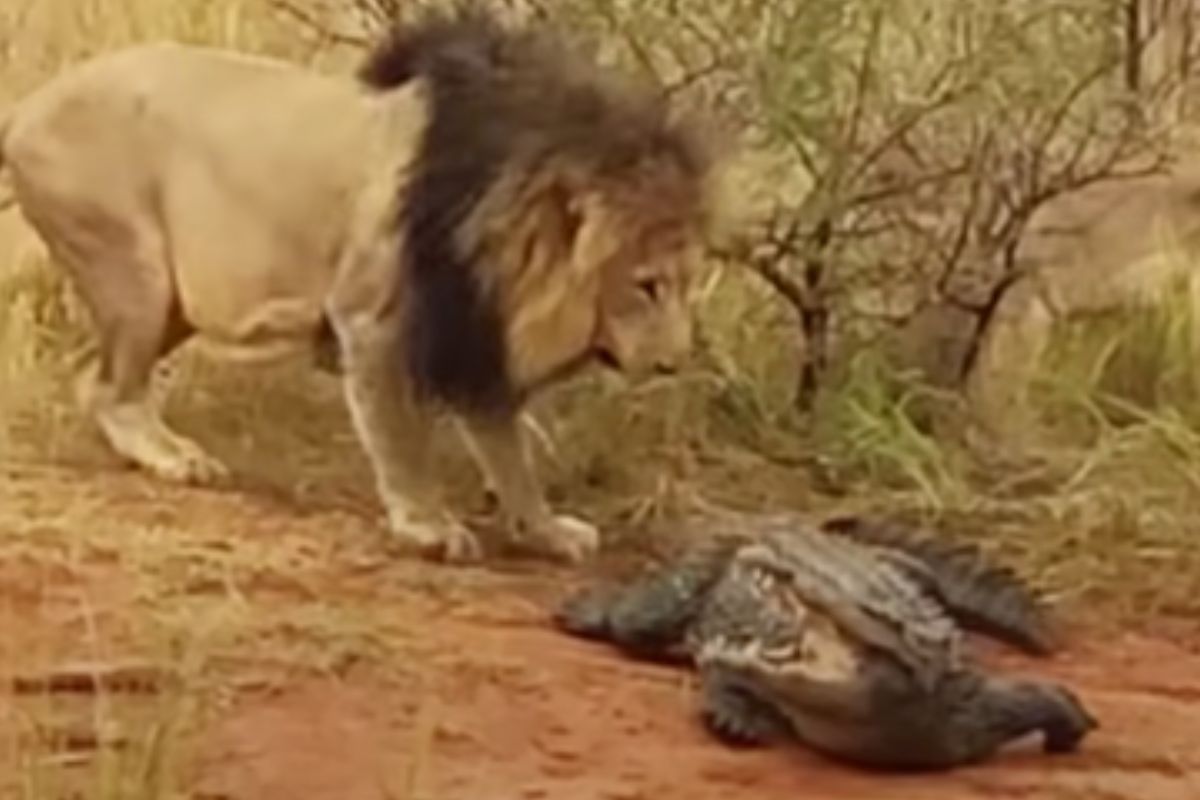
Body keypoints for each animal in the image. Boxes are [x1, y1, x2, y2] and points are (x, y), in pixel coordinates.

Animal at [0, 7, 720, 568]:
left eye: (687, 284)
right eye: (647, 286)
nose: (674, 363)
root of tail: (29, 104)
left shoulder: (473, 330)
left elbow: (509, 454)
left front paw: (543, 529)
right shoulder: (377, 319)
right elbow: (402, 435)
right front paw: (427, 524)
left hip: (177, 299)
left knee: (93, 380)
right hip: (138, 272)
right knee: (112, 389)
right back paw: (173, 457)